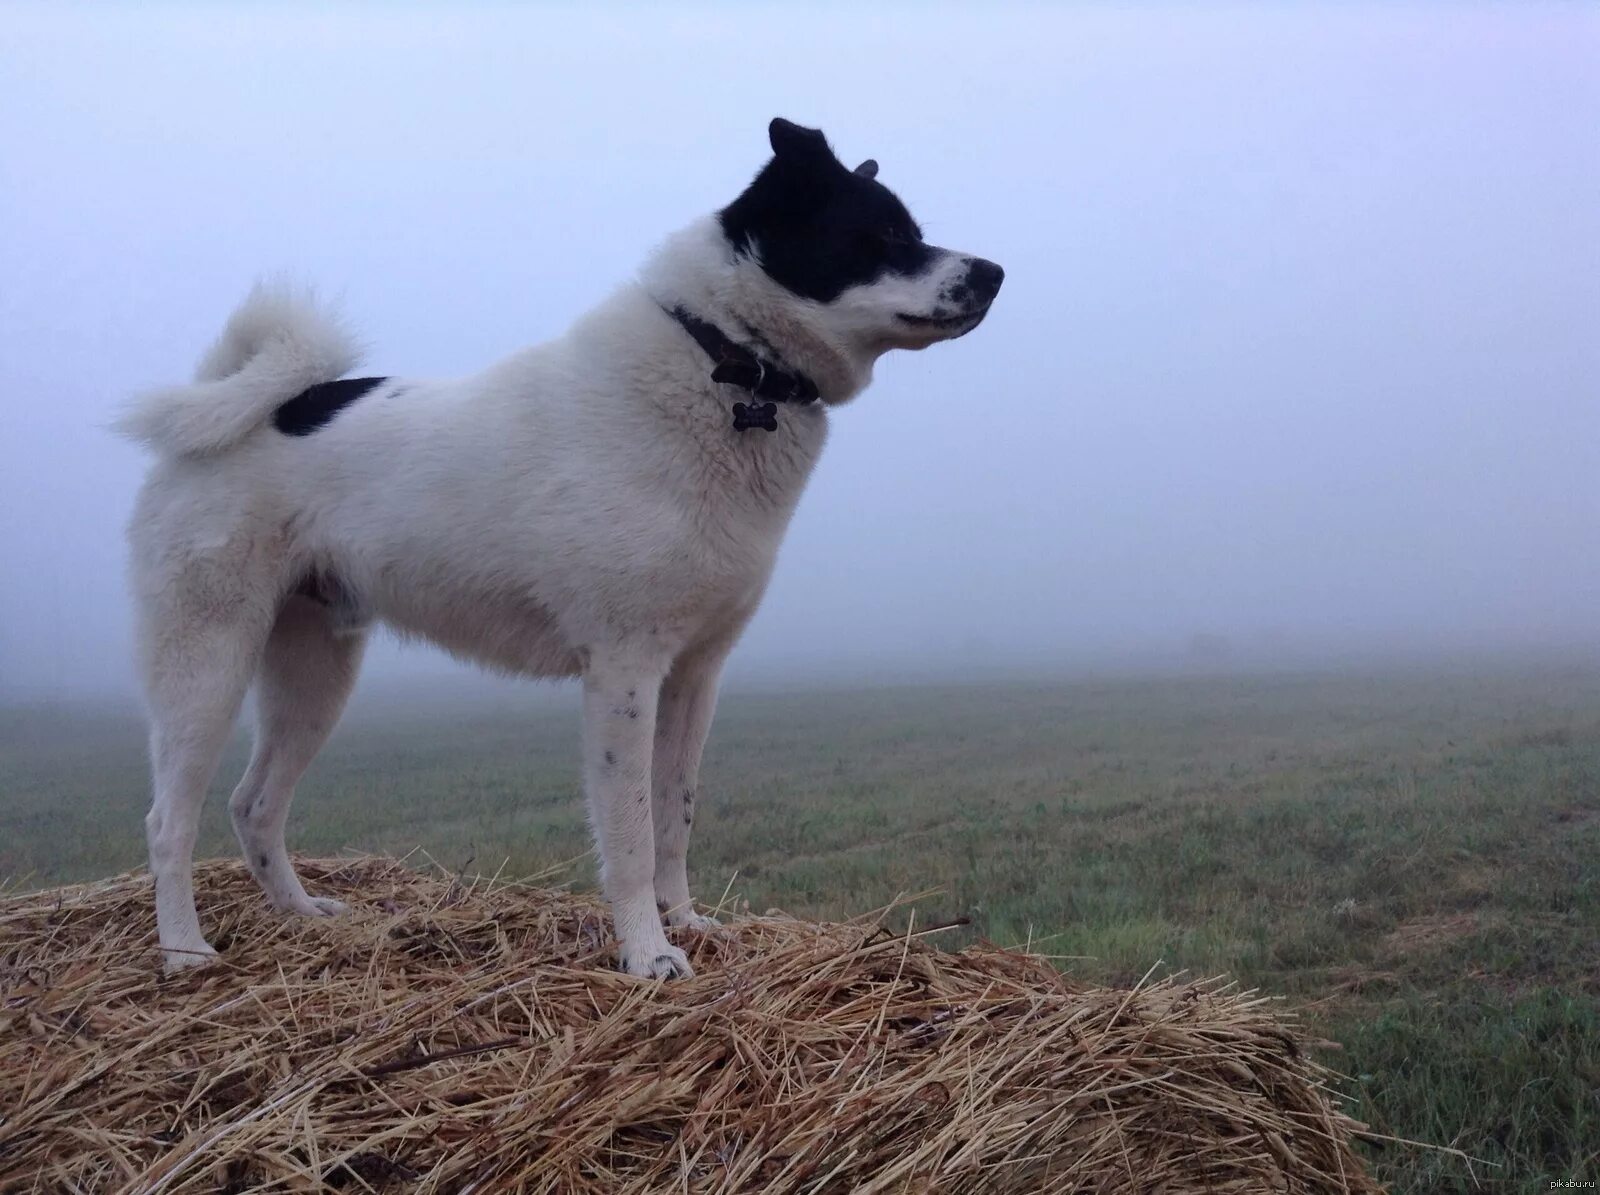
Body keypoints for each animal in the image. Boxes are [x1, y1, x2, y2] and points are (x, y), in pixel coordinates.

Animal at [118, 119, 1004, 979]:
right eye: (881, 234)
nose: (995, 271)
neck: (726, 362)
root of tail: (235, 411)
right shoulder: (623, 670)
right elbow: (632, 831)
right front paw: (648, 952)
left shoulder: (695, 674)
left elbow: (676, 814)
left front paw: (688, 922)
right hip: (208, 661)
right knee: (168, 819)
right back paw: (185, 951)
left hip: (315, 671)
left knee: (254, 804)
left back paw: (302, 916)